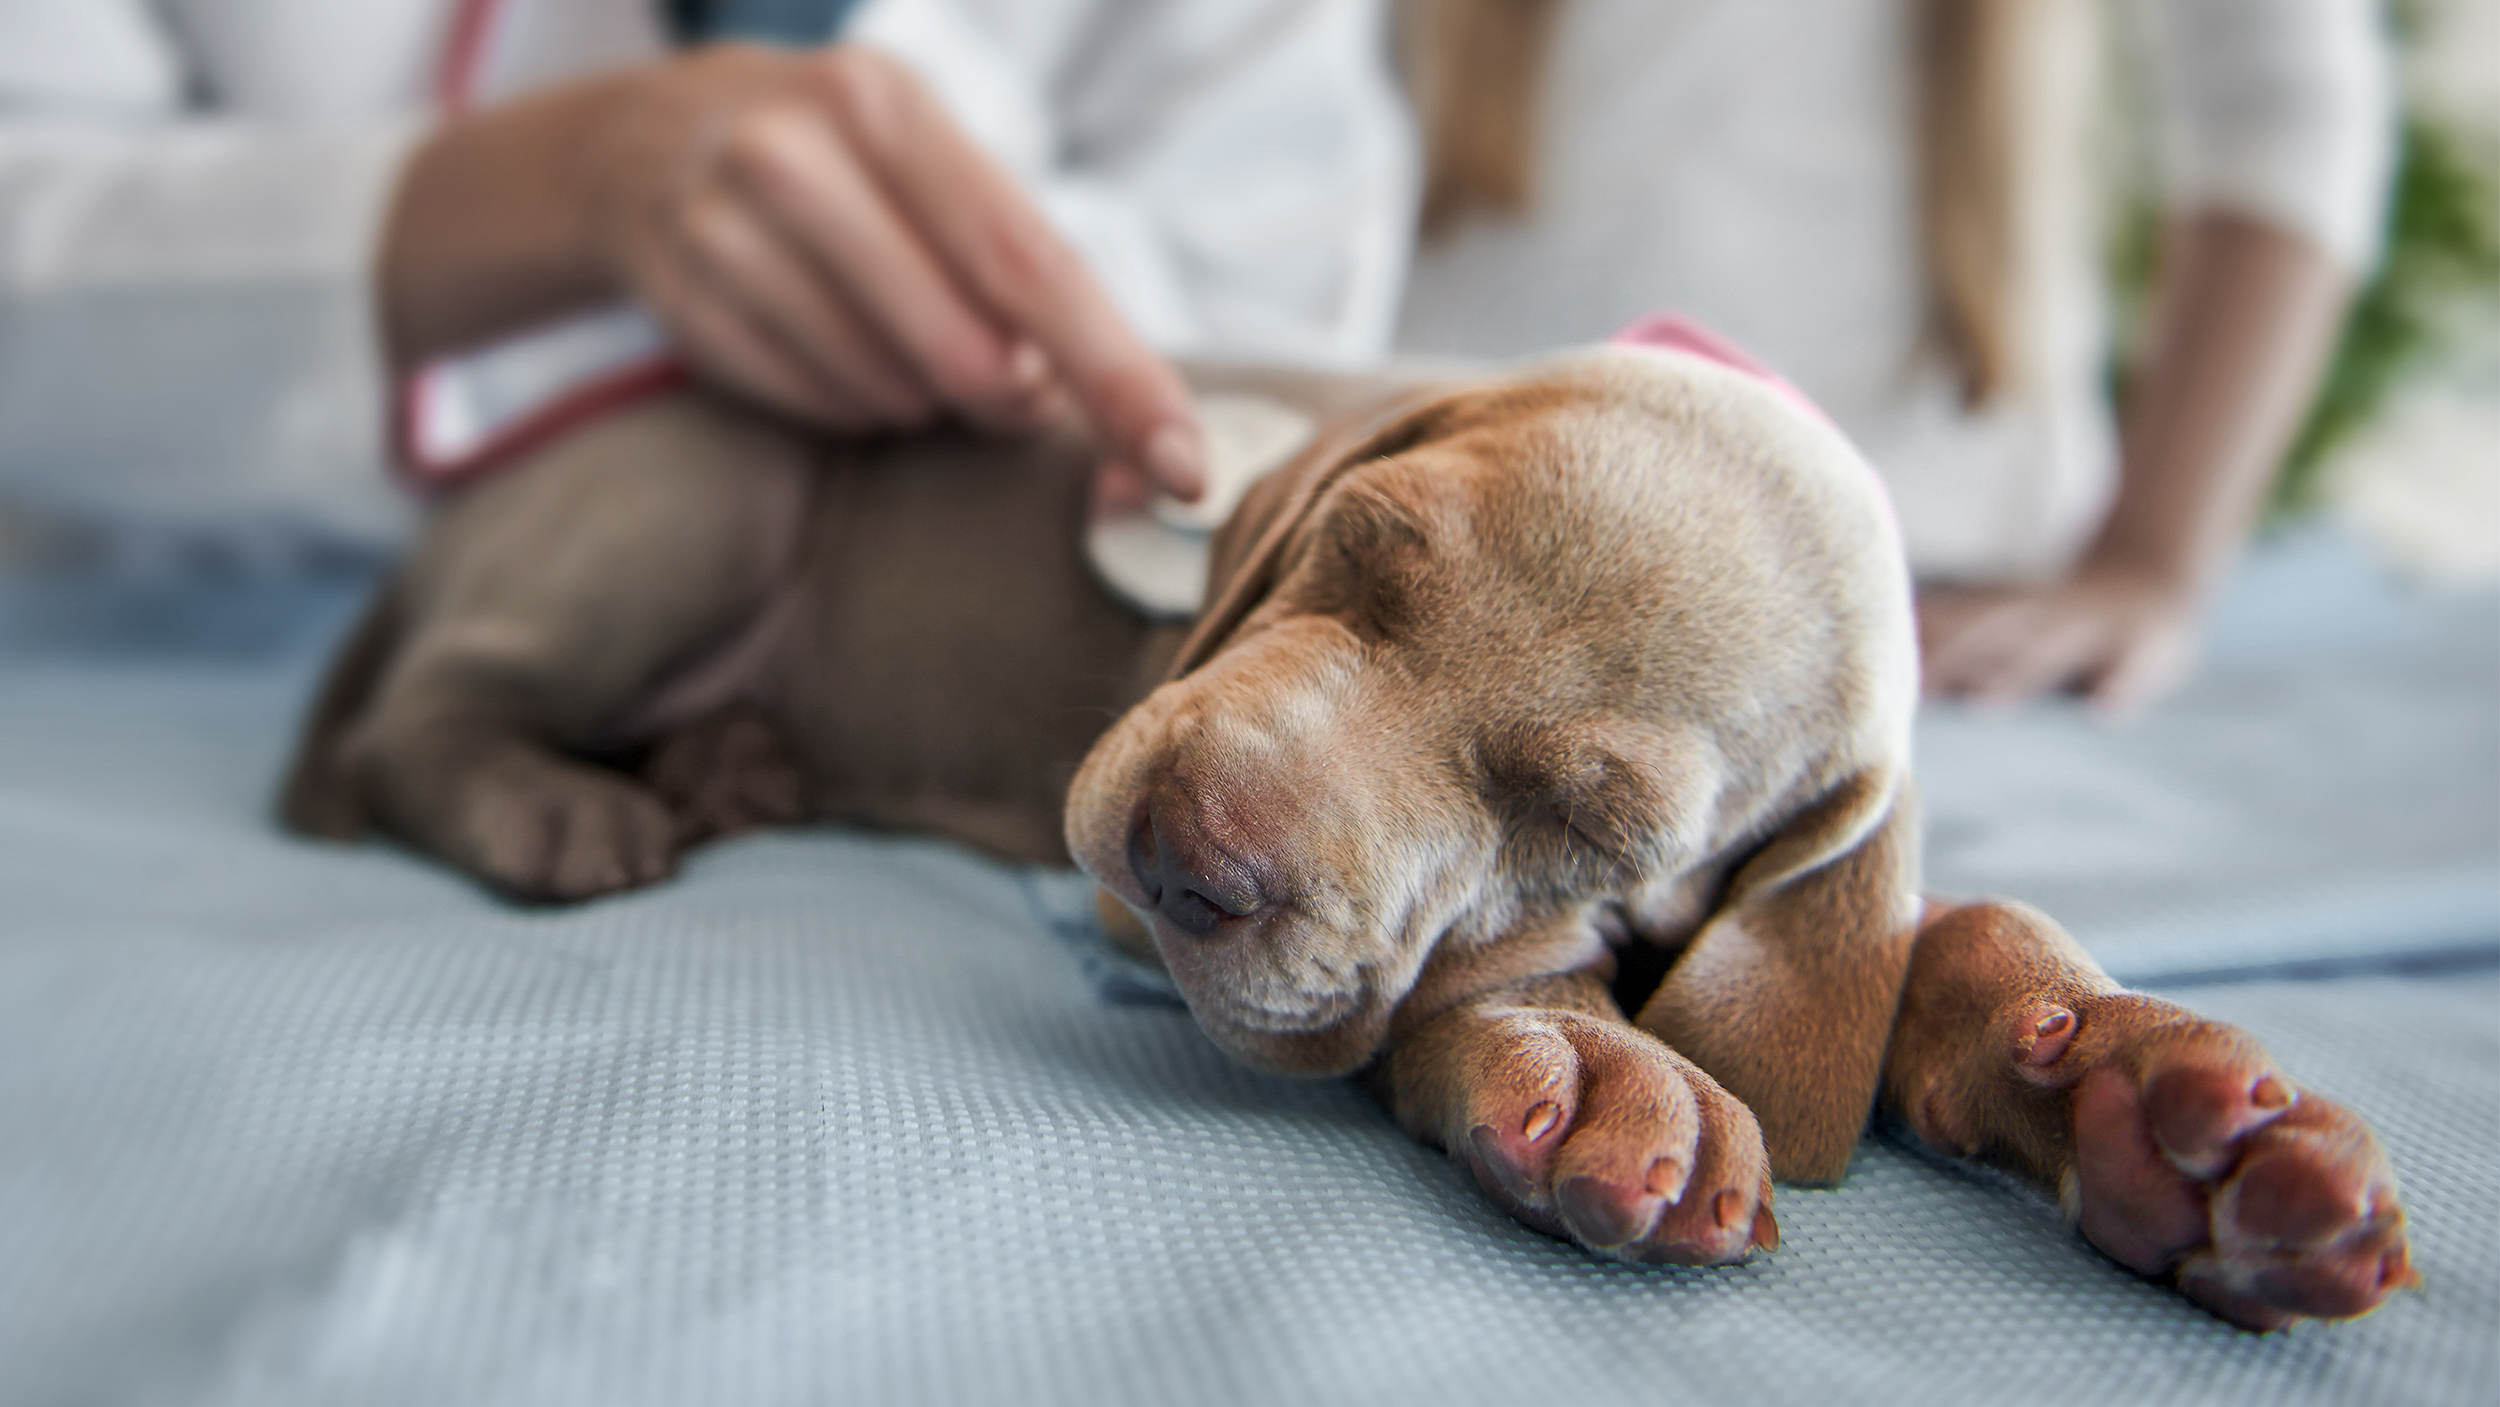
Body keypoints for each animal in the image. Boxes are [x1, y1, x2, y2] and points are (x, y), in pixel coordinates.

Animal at [283, 347, 2410, 1329]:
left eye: (1591, 815)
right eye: (1359, 556)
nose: (1186, 857)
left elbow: (1922, 931)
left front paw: (2170, 1114)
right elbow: (1473, 985)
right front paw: (1587, 1060)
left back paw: (729, 767)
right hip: (696, 498)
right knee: (421, 718)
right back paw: (568, 803)